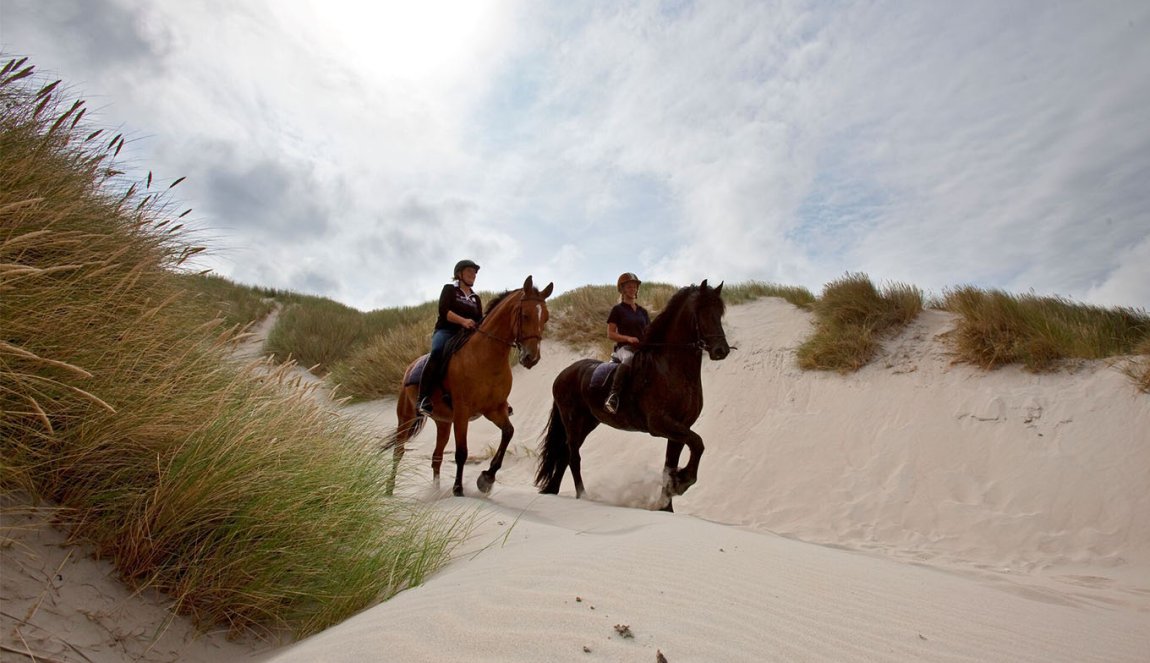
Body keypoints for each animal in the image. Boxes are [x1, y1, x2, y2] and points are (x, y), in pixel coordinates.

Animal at [388, 273, 554, 496]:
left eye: (545, 318)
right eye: (525, 314)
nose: (531, 358)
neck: (485, 357)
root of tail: (410, 366)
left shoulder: (495, 409)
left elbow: (508, 433)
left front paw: (487, 478)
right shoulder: (463, 411)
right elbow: (461, 452)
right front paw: (458, 488)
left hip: (443, 422)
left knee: (436, 457)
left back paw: (436, 491)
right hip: (406, 418)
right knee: (398, 451)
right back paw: (389, 489)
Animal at [535, 279, 731, 512]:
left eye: (719, 312)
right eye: (702, 311)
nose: (721, 350)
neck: (671, 368)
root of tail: (563, 374)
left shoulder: (679, 428)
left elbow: (671, 464)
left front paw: (667, 506)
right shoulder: (660, 423)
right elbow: (698, 443)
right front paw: (682, 482)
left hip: (588, 422)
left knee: (565, 453)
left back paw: (554, 489)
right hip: (573, 420)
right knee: (573, 456)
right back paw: (583, 495)